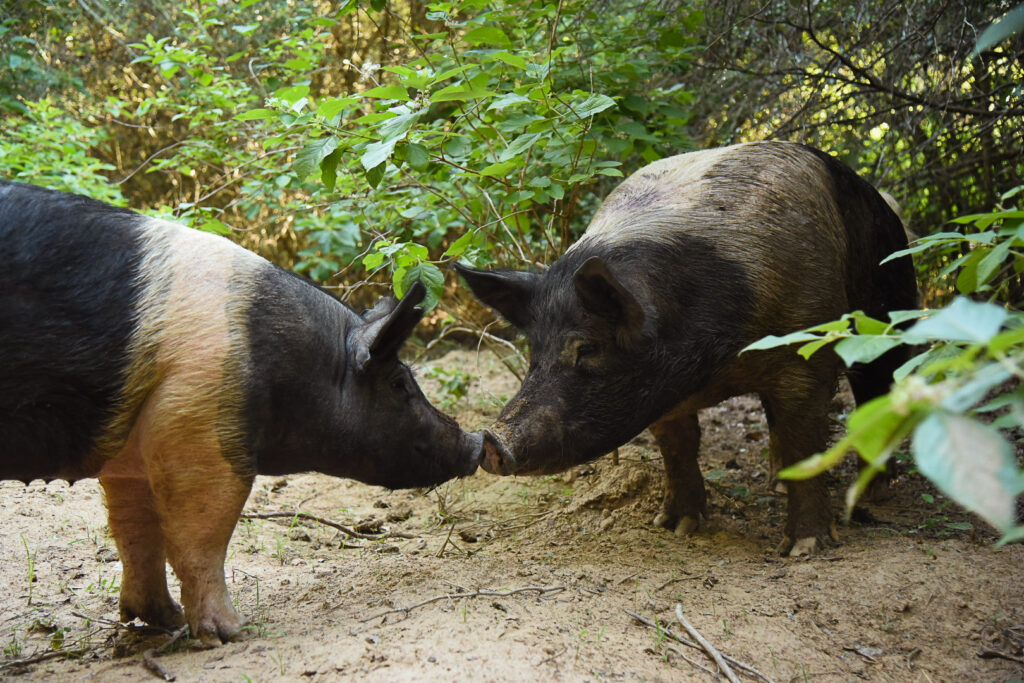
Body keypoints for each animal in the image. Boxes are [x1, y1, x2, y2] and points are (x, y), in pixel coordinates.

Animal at [0, 180, 485, 644]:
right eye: (400, 384)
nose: (479, 442)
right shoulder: (202, 428)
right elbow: (199, 535)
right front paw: (230, 633)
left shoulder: (133, 449)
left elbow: (136, 530)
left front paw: (162, 620)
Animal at [456, 141, 917, 557]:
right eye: (534, 347)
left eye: (586, 347)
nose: (492, 441)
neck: (718, 359)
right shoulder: (660, 387)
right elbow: (677, 445)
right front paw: (674, 526)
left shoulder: (806, 351)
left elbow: (804, 436)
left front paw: (803, 550)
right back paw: (774, 482)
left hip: (889, 311)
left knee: (877, 392)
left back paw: (875, 494)